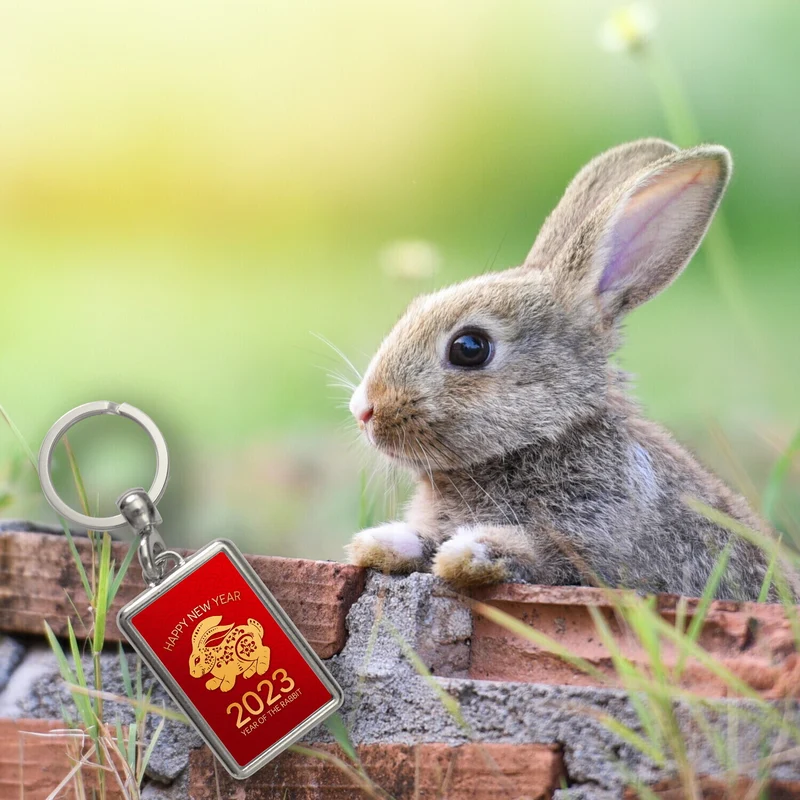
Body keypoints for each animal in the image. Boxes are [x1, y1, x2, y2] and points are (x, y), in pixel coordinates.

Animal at [345, 138, 780, 602]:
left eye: (470, 348)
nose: (363, 410)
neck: (547, 436)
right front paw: (381, 542)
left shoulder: (591, 543)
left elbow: (536, 554)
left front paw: (469, 553)